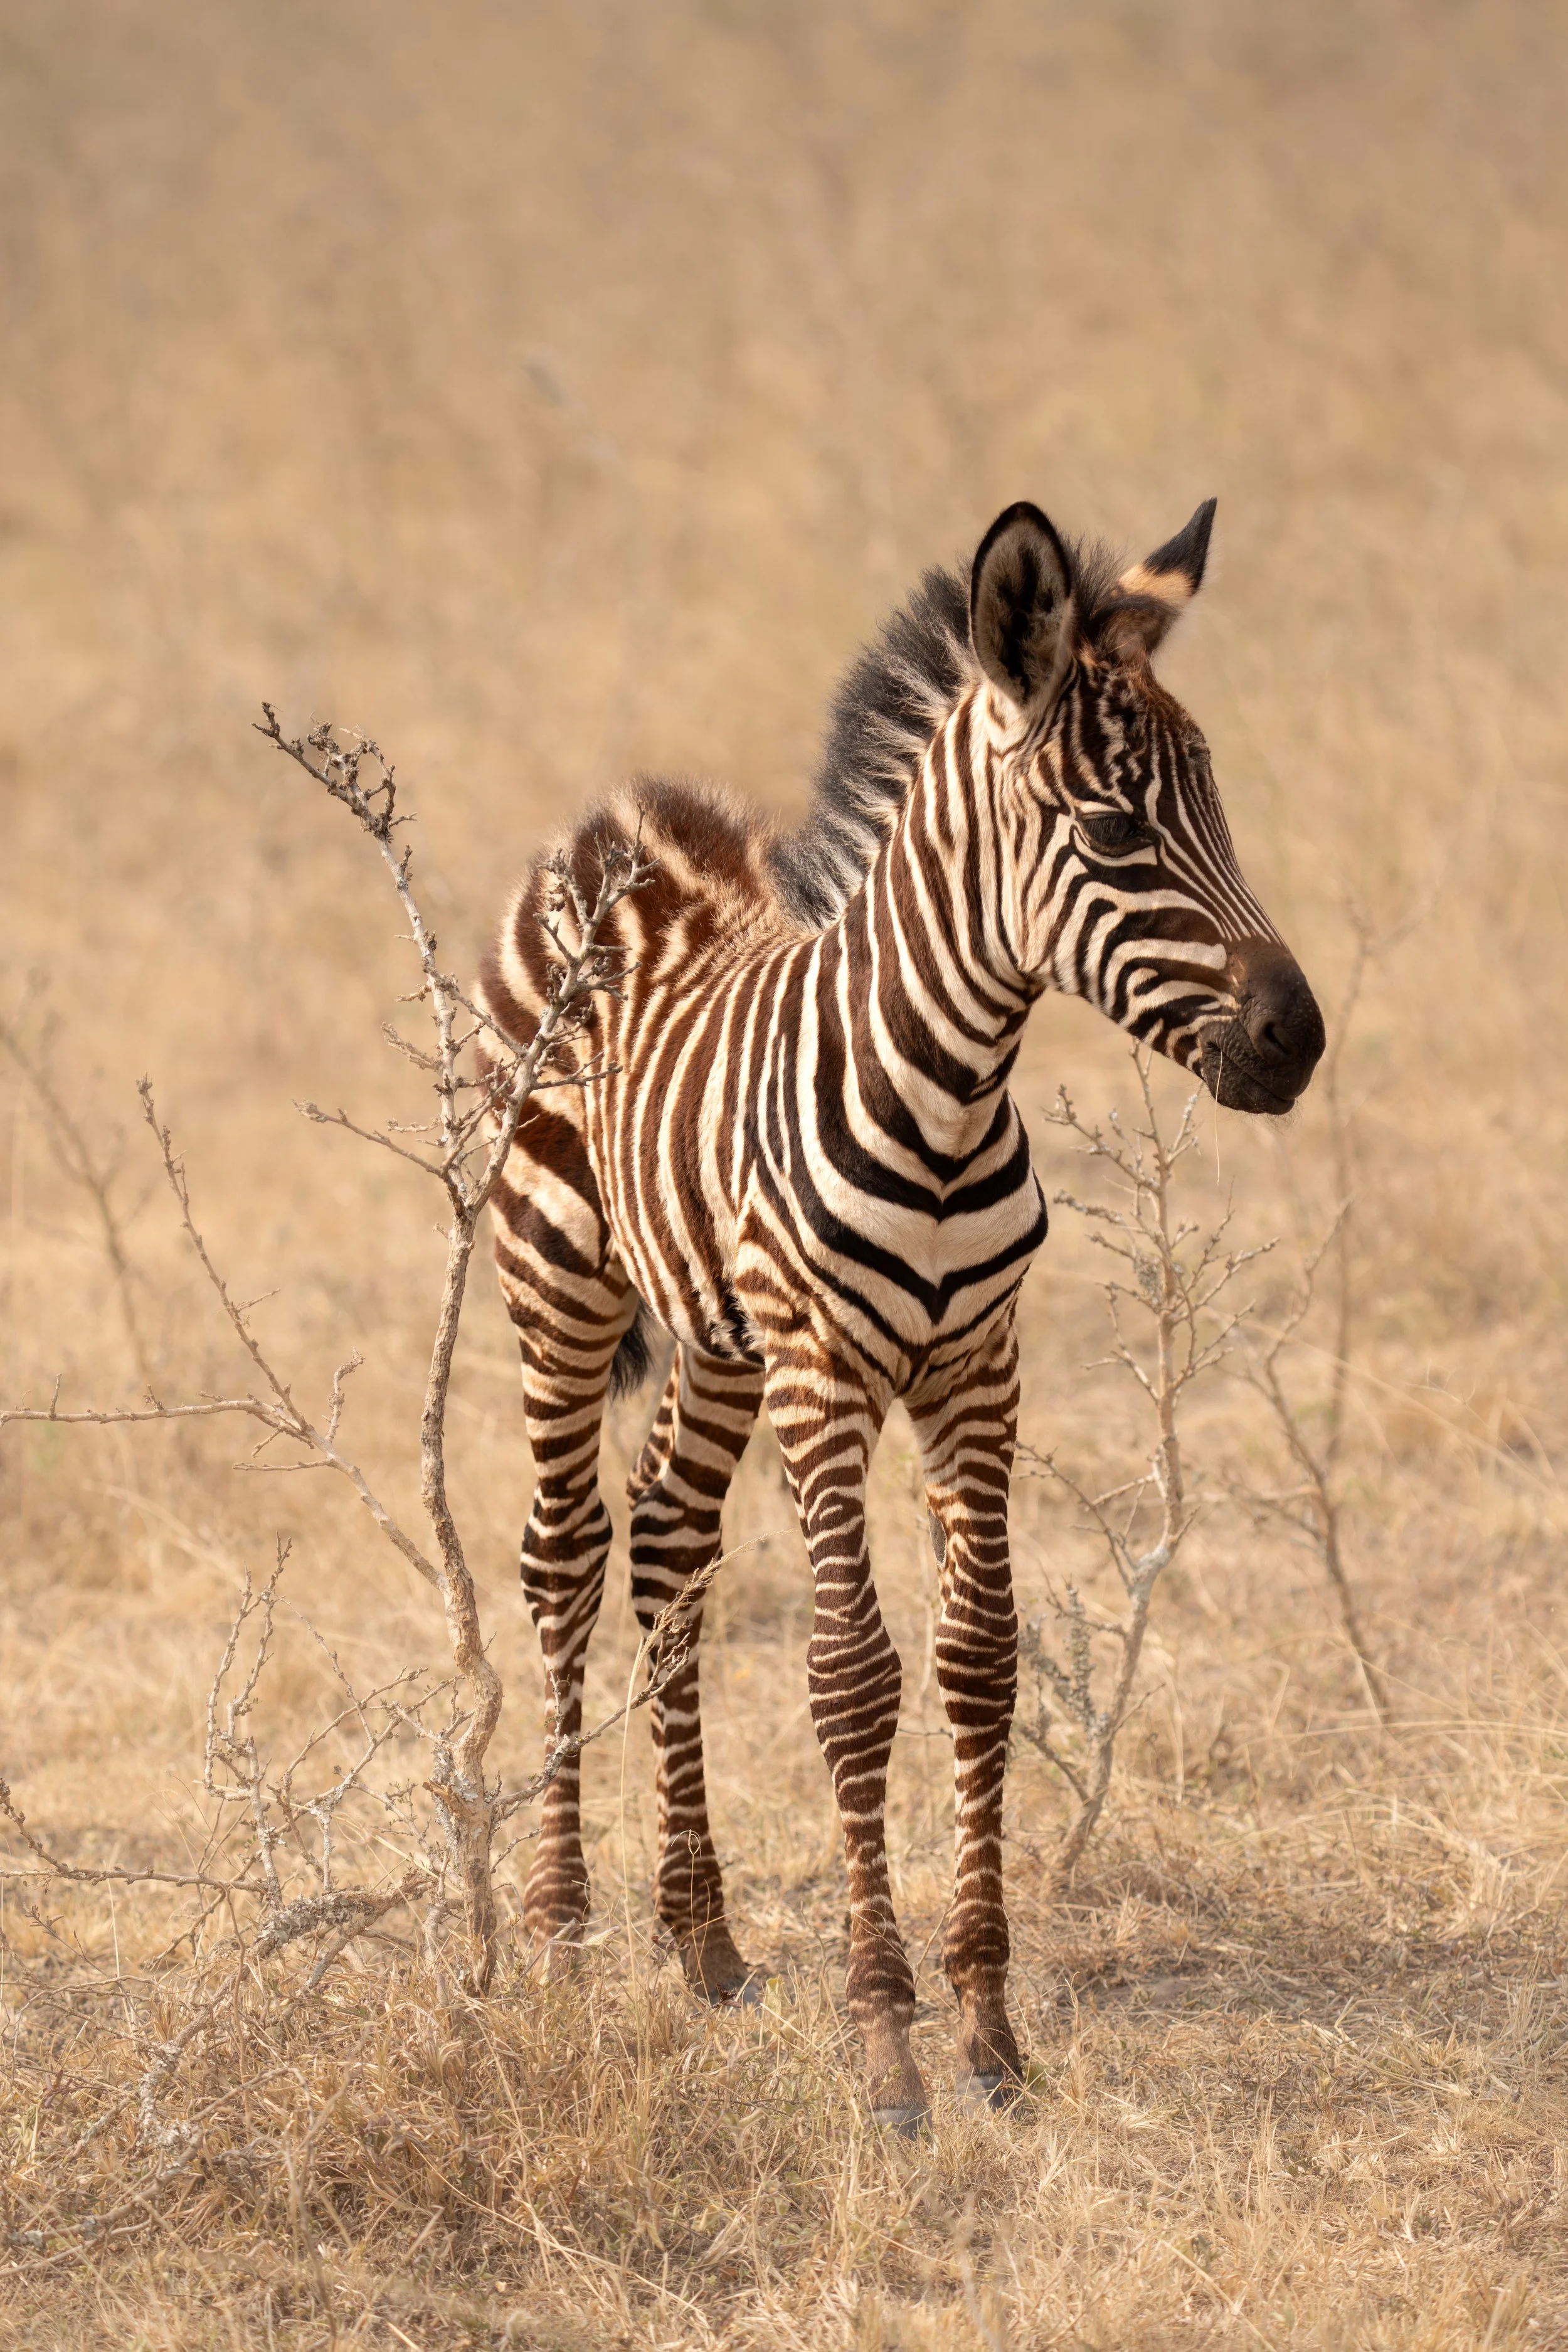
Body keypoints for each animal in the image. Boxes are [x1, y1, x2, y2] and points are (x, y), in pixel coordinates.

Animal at [477, 499, 1324, 2127]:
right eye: (1115, 833)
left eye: (1220, 808)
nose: (1297, 1041)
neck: (945, 1093)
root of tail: (622, 817)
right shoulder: (824, 1369)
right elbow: (850, 1678)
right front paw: (884, 2036)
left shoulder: (976, 1366)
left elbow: (978, 1661)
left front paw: (988, 2026)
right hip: (557, 1277)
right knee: (563, 1561)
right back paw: (557, 1938)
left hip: (715, 1335)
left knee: (668, 1550)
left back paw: (704, 1942)